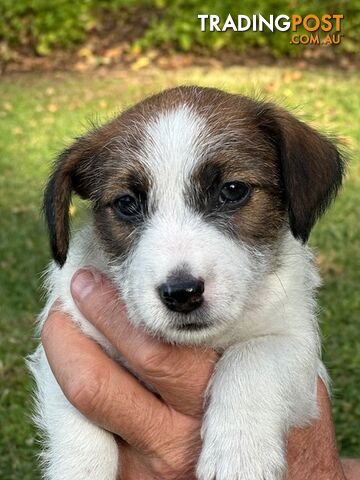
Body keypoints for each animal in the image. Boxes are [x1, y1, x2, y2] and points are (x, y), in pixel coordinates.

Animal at [28, 86, 344, 480]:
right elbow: (79, 426)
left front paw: (239, 454)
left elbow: (252, 355)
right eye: (127, 203)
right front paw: (80, 469)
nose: (182, 294)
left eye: (233, 190)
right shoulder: (68, 347)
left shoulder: (296, 341)